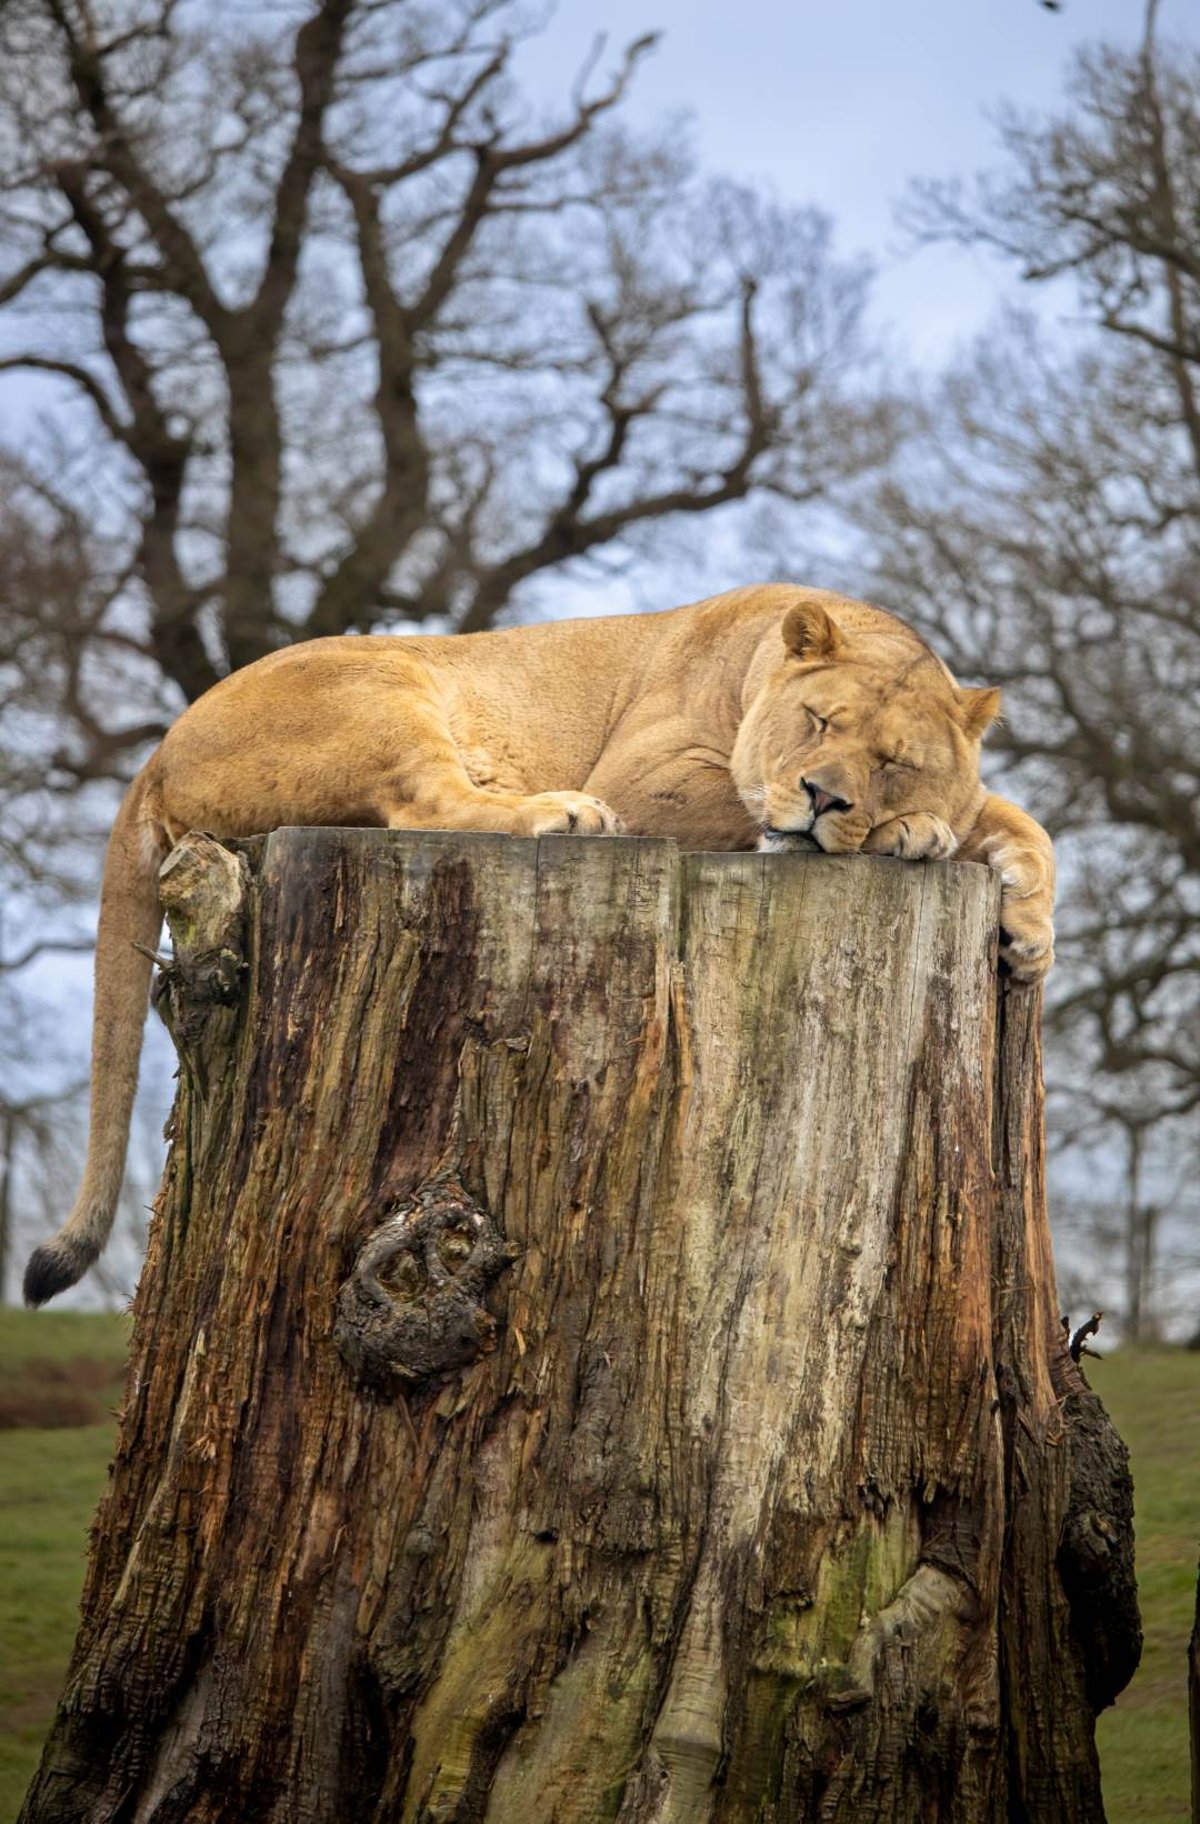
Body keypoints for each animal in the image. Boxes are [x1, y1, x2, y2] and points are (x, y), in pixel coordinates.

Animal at [23, 584, 1054, 1305]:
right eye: (819, 722)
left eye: (892, 759)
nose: (825, 795)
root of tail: (157, 751)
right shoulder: (655, 777)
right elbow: (791, 810)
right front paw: (913, 833)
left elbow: (1018, 818)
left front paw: (1027, 929)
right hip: (386, 687)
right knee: (430, 803)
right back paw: (559, 811)